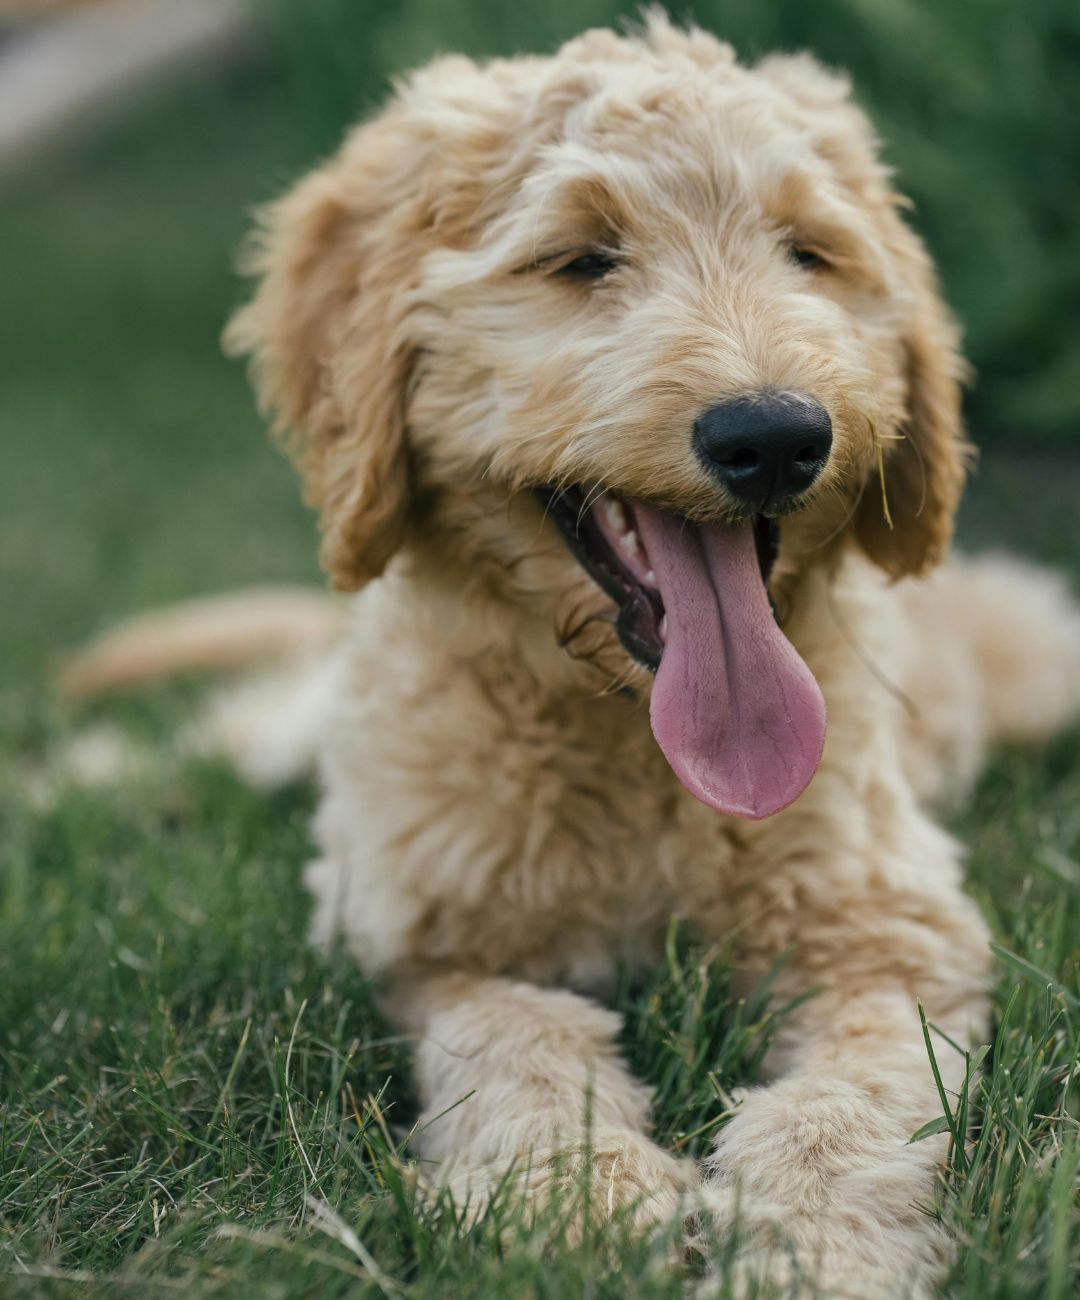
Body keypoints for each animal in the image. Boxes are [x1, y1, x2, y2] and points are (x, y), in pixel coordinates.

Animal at [61, 12, 1080, 1300]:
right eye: (585, 258)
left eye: (808, 252)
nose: (774, 435)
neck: (626, 732)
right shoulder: (422, 940)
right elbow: (520, 1033)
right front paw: (576, 1199)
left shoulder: (893, 938)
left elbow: (847, 1100)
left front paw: (806, 1243)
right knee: (225, 734)